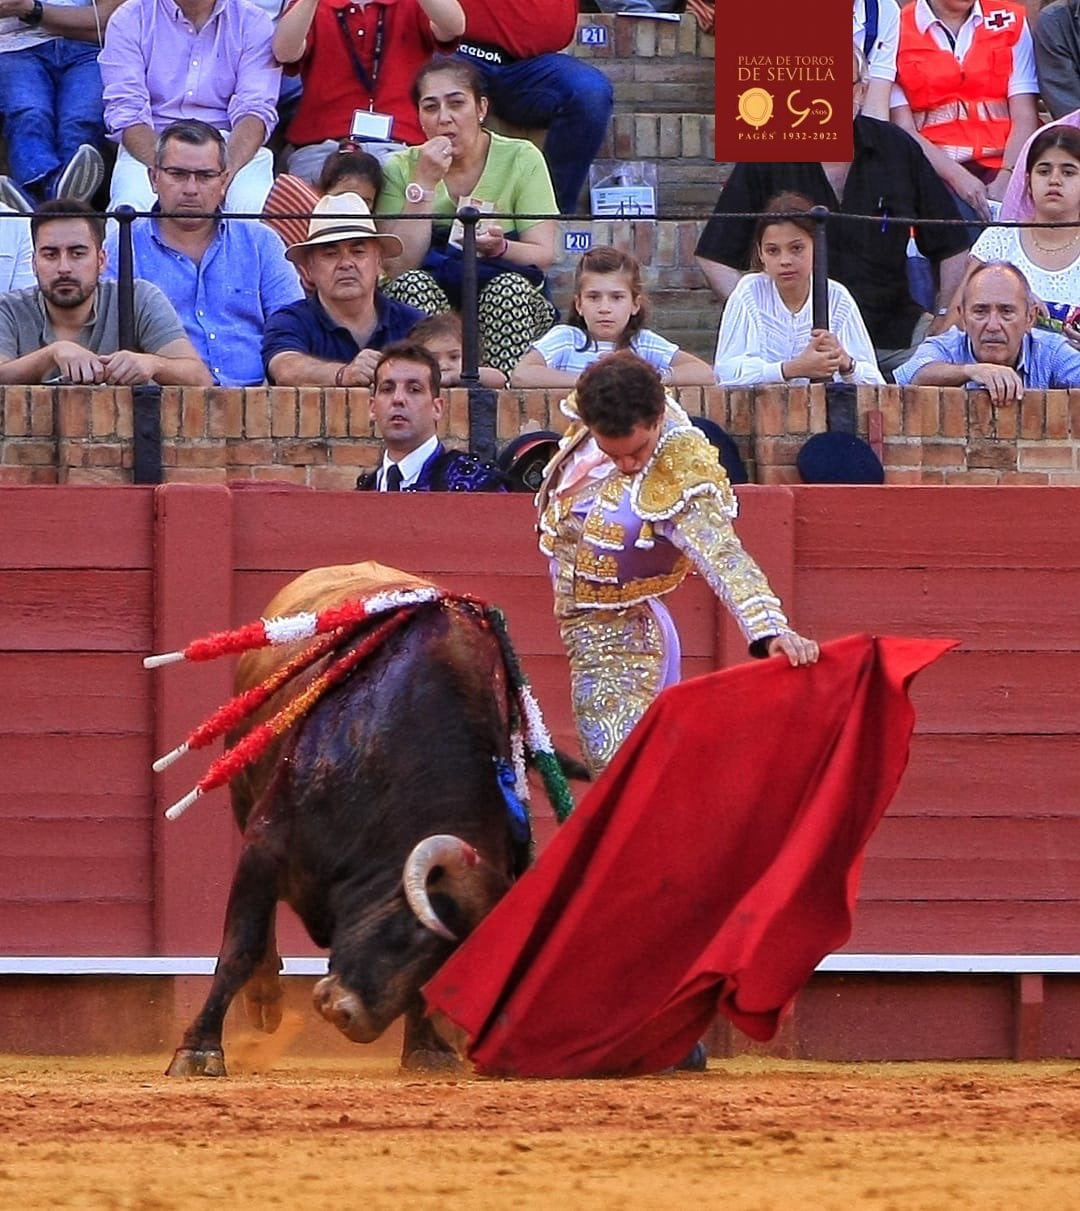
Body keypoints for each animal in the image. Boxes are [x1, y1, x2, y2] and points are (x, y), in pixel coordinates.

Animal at [164, 559, 552, 1080]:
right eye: (413, 929)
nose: (348, 1016)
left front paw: (428, 1049)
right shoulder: (266, 843)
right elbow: (239, 946)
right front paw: (199, 1050)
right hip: (244, 801)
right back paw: (264, 1001)